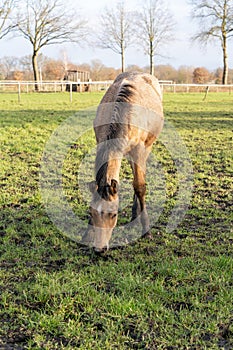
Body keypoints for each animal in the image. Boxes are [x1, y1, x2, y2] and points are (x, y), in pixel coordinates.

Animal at [82, 72, 164, 252]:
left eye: (114, 214)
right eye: (91, 213)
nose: (100, 249)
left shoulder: (139, 150)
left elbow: (139, 186)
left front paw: (146, 230)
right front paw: (87, 234)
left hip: (147, 147)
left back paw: (136, 215)